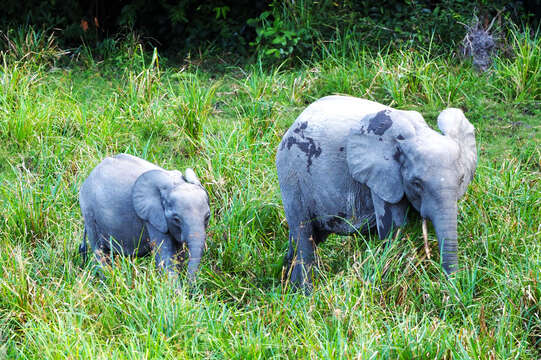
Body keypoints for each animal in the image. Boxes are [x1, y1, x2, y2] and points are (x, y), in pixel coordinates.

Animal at [79, 153, 210, 280]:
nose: (189, 283)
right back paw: (106, 279)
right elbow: (165, 255)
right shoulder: (152, 218)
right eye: (176, 219)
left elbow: (178, 254)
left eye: (207, 217)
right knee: (99, 250)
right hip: (89, 213)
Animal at [276, 95, 474, 292]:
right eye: (416, 183)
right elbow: (395, 229)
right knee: (304, 237)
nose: (448, 287)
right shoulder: (384, 178)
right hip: (292, 176)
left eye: (461, 179)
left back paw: (287, 285)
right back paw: (304, 293)